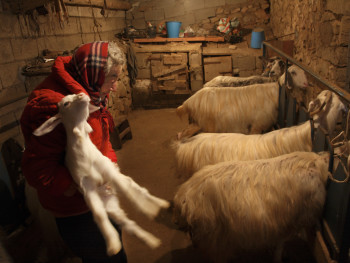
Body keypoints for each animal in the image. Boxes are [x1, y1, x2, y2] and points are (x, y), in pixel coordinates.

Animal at [33, 94, 170, 256]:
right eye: (66, 103)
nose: (82, 95)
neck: (83, 149)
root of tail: (111, 197)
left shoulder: (109, 171)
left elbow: (129, 192)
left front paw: (148, 209)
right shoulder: (86, 187)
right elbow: (98, 215)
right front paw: (112, 245)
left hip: (124, 181)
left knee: (138, 189)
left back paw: (160, 204)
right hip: (111, 208)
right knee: (128, 223)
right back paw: (150, 240)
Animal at [176, 64, 308, 138]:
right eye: (293, 72)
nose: (306, 83)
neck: (275, 92)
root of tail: (188, 102)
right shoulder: (257, 125)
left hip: (196, 123)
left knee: (181, 134)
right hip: (206, 125)